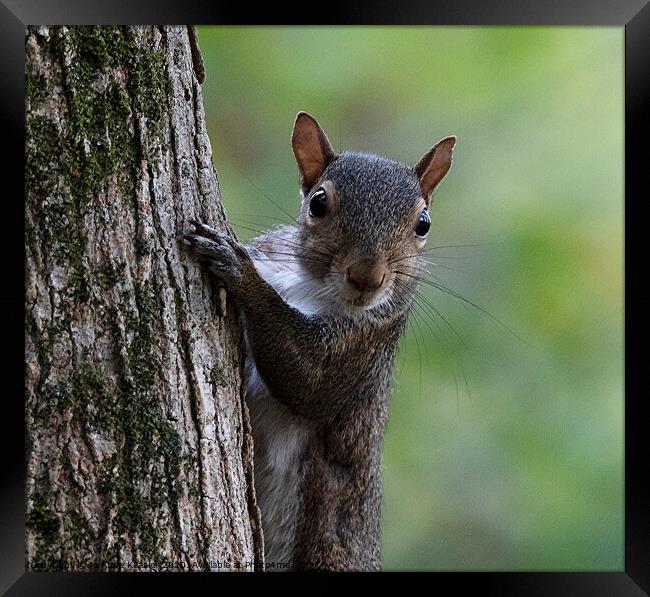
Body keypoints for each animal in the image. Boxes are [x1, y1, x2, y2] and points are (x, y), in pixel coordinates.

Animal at [181, 110, 456, 568]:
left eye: (423, 224)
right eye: (318, 202)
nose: (367, 277)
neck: (309, 285)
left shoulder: (364, 344)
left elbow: (308, 383)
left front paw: (239, 270)